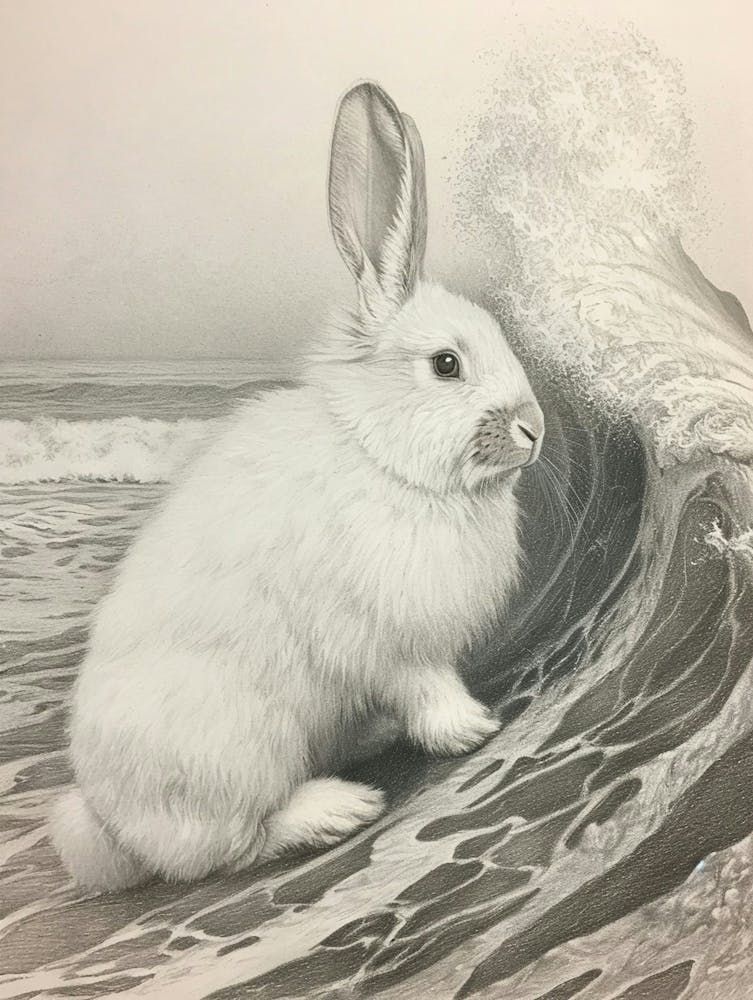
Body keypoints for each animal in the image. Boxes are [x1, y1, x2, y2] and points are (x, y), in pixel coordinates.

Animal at [50, 80, 544, 892]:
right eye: (446, 364)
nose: (536, 429)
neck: (380, 455)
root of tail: (109, 825)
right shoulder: (392, 641)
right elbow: (428, 685)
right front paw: (473, 728)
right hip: (239, 747)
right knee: (224, 850)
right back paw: (336, 809)